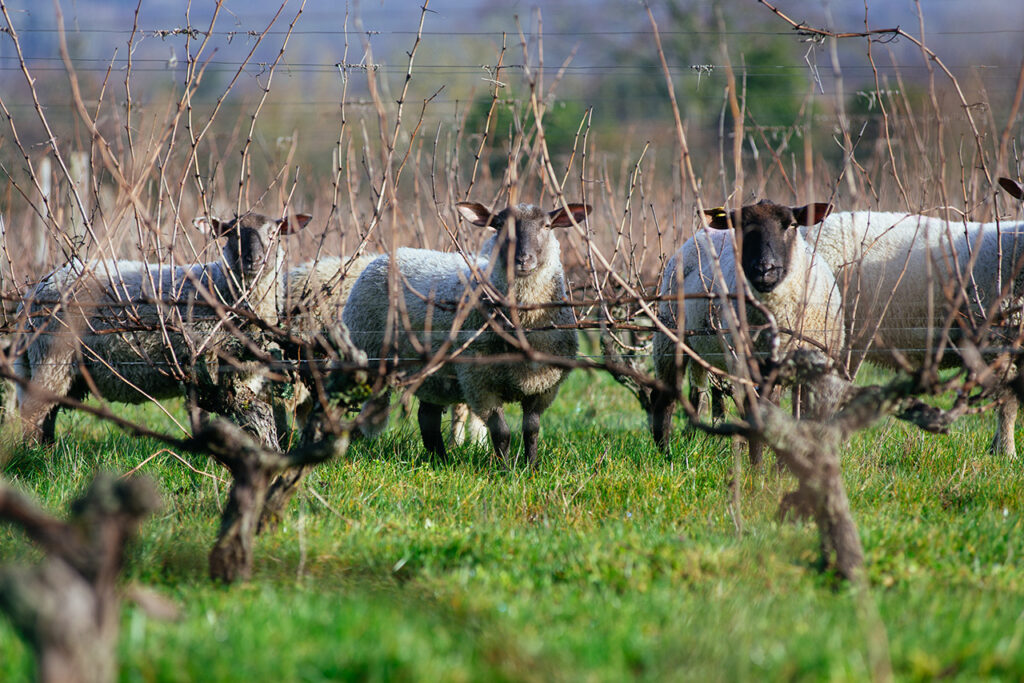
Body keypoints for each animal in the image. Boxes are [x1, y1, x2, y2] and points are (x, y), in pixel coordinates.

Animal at [16, 209, 309, 444]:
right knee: (31, 415)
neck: (220, 289)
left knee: (46, 416)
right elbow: (202, 418)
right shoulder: (200, 366)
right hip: (52, 357)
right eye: (230, 234)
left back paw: (45, 451)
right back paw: (29, 457)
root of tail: (34, 292)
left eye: (274, 234)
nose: (253, 260)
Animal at [342, 197, 593, 464]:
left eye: (546, 226)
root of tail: (388, 255)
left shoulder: (543, 386)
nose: (523, 260)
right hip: (366, 353)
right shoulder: (480, 382)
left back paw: (440, 460)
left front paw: (531, 466)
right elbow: (501, 433)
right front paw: (506, 468)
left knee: (428, 417)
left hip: (433, 375)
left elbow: (532, 430)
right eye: (499, 225)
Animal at [651, 200, 843, 462]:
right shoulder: (745, 364)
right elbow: (755, 416)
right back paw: (665, 454)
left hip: (701, 347)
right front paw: (758, 468)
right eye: (740, 226)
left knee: (698, 395)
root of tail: (702, 233)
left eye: (792, 225)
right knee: (665, 398)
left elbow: (803, 417)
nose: (764, 269)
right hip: (669, 337)